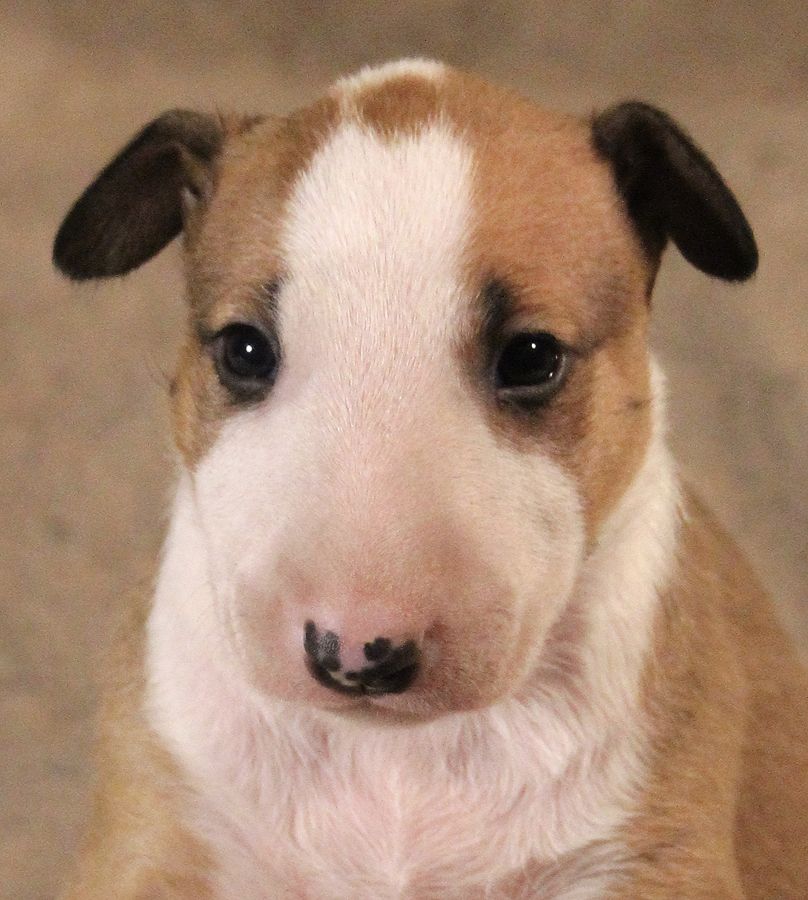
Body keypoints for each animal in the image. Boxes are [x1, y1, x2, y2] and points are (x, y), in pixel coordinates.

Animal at [53, 59, 808, 899]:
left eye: (532, 357)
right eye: (244, 350)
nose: (356, 653)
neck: (396, 759)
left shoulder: (649, 858)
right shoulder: (150, 840)